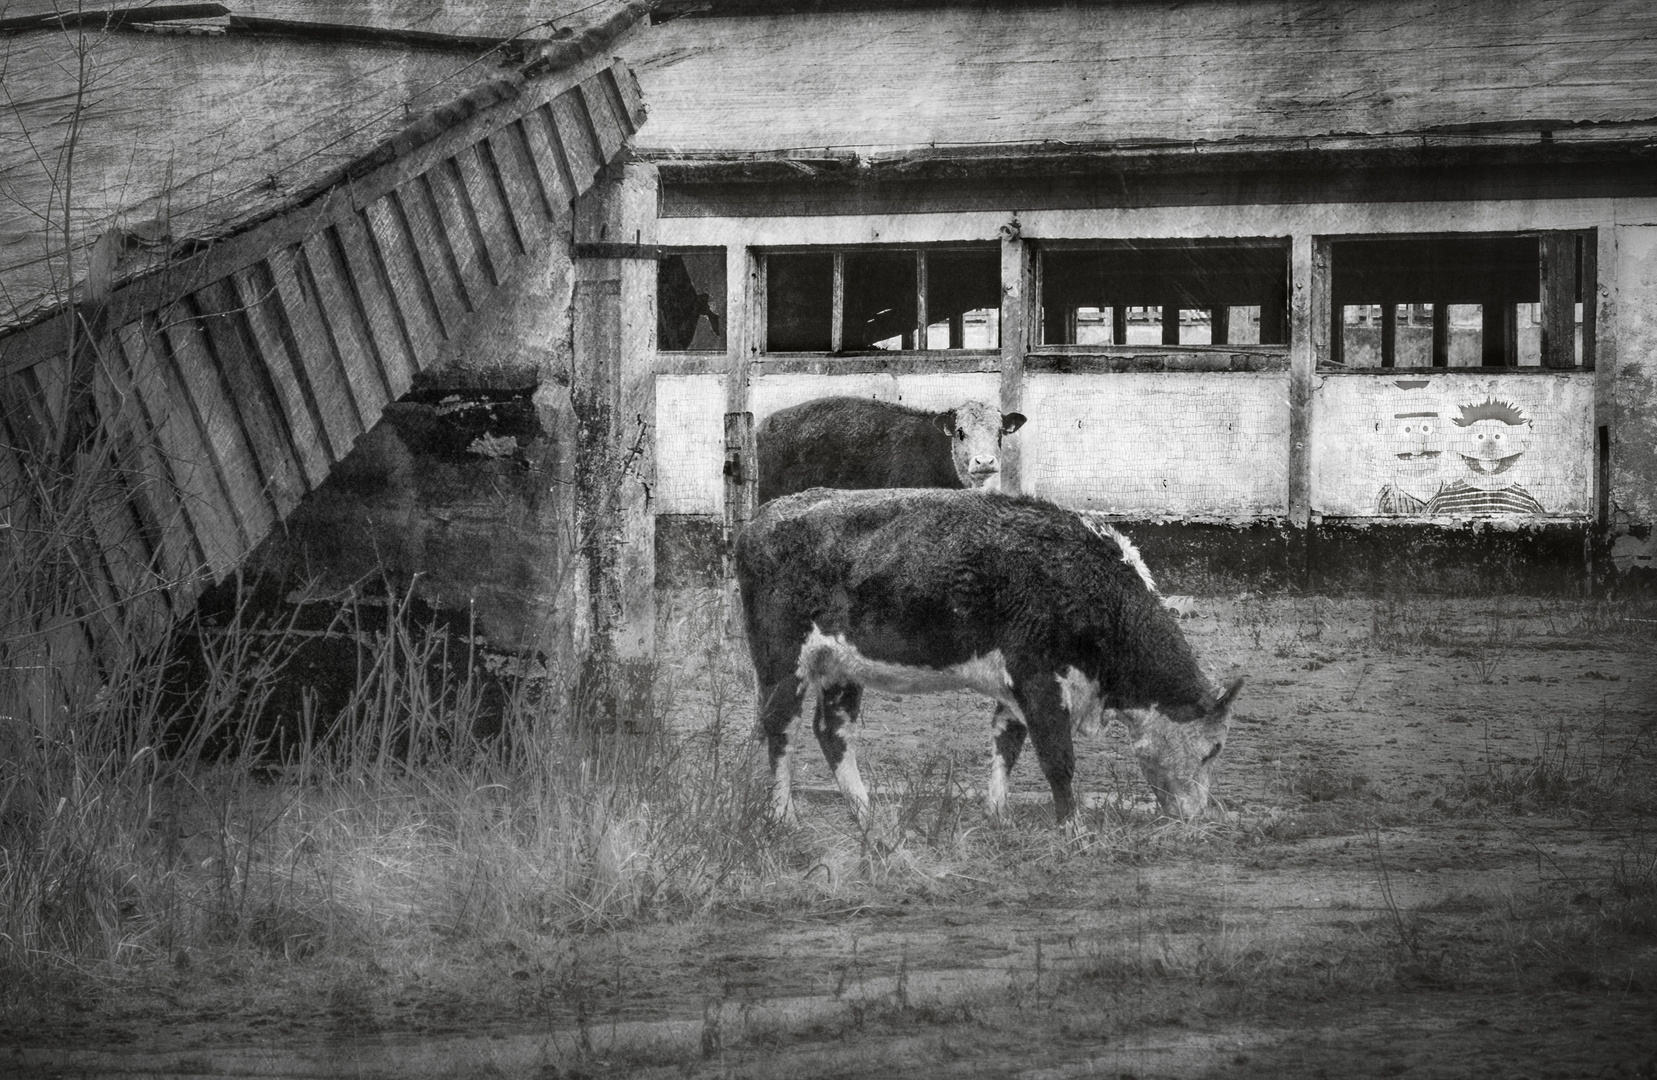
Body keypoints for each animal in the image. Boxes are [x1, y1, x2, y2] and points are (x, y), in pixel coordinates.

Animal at [739, 483, 1246, 821]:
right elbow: (1057, 759)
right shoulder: (1040, 679)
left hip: (841, 667)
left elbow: (1008, 743)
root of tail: (762, 517)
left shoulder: (1016, 687)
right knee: (780, 727)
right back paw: (783, 815)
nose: (1196, 816)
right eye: (1214, 749)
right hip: (783, 662)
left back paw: (867, 813)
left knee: (833, 730)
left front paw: (998, 815)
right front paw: (1074, 830)